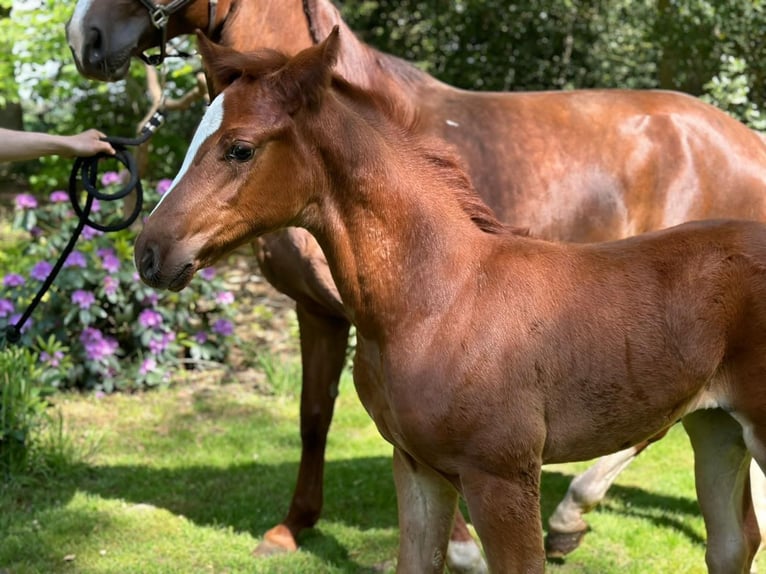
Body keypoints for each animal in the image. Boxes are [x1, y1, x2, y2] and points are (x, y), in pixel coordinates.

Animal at [64, 0, 766, 564]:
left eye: (239, 148)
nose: (149, 251)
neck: (440, 298)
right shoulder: (415, 464)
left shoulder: (502, 480)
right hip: (716, 429)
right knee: (733, 542)